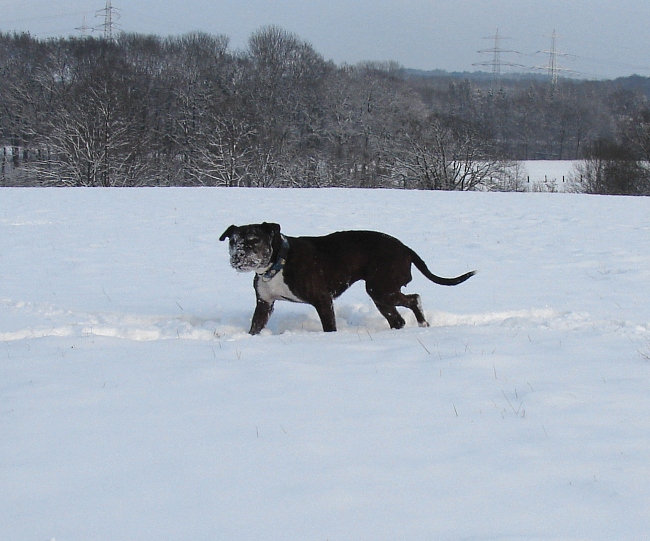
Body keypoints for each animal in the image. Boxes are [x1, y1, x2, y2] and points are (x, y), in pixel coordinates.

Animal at [220, 220, 474, 334]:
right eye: (233, 241)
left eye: (254, 240)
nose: (237, 256)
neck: (277, 262)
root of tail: (405, 248)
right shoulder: (264, 303)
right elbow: (255, 327)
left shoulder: (322, 300)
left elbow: (329, 327)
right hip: (381, 295)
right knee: (398, 319)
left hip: (382, 289)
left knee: (414, 299)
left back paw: (422, 324)